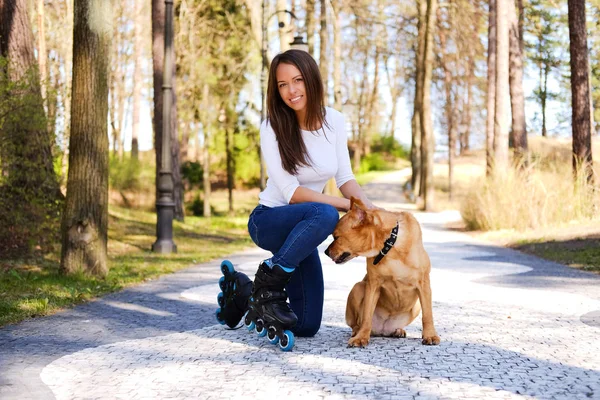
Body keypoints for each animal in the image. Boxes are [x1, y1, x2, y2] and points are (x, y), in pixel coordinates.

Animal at [326, 198, 438, 348]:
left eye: (336, 237)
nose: (326, 252)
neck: (389, 246)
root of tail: (383, 330)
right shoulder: (373, 285)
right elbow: (367, 316)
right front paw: (361, 337)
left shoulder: (424, 285)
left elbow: (428, 316)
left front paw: (430, 335)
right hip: (358, 288)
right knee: (358, 323)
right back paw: (358, 331)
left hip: (416, 305)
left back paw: (398, 330)